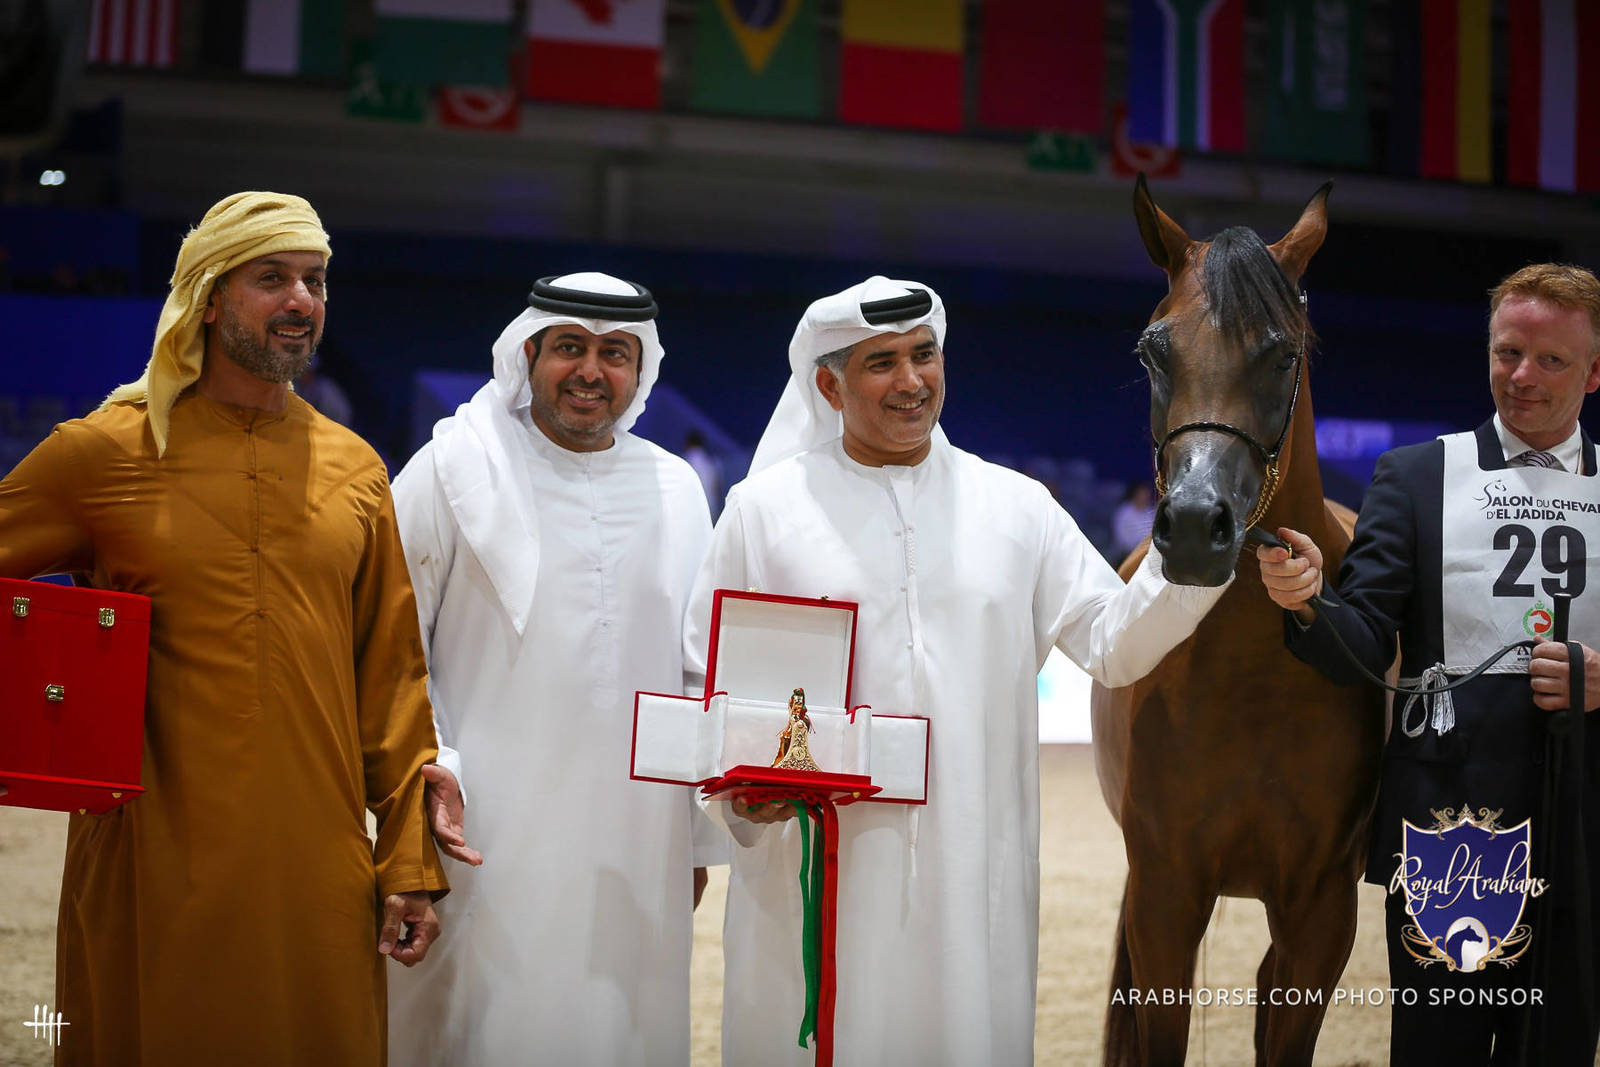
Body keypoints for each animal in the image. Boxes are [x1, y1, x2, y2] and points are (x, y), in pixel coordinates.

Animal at [1092, 177, 1386, 1066]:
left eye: (1282, 354)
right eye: (1151, 351)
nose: (1195, 527)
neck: (1250, 679)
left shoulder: (1320, 909)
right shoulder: (1165, 893)